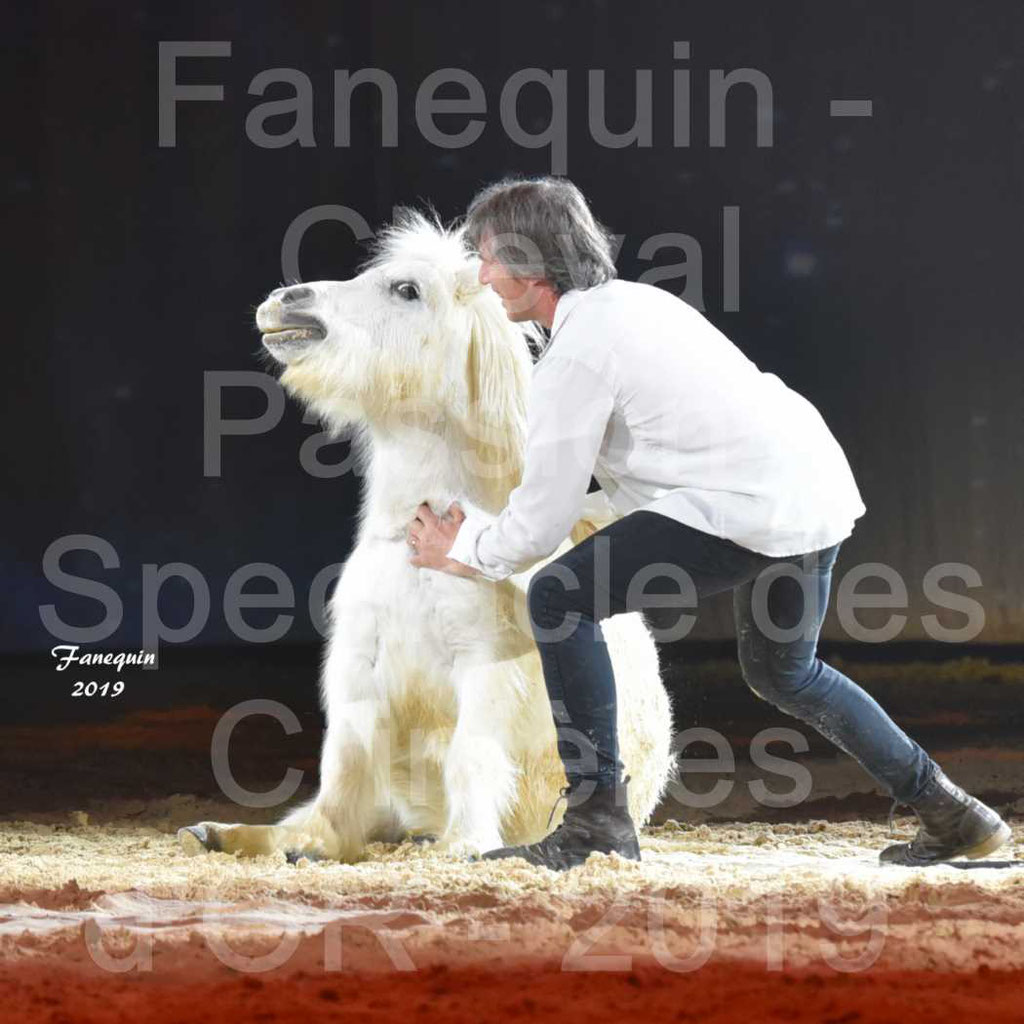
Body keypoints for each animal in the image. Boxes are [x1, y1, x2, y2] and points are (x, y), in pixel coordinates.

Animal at [180, 214, 675, 864]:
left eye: (407, 290)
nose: (286, 302)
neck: (415, 552)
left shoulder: (484, 668)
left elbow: (470, 756)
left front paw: (463, 845)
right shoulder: (358, 669)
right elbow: (341, 772)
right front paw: (298, 841)